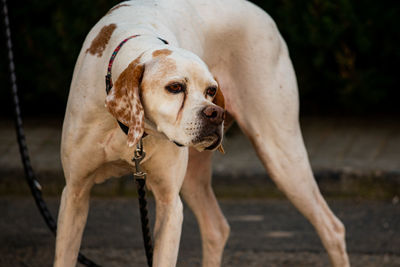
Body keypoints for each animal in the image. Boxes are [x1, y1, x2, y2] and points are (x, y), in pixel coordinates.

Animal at [55, 0, 350, 266]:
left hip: (281, 156)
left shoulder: (170, 205)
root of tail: (261, 13)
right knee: (216, 228)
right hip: (196, 176)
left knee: (332, 228)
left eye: (211, 90)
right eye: (175, 87)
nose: (216, 114)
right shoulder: (75, 194)